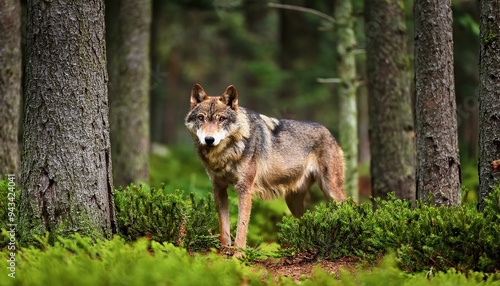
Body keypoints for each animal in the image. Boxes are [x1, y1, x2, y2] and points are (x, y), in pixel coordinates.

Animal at [186, 83, 346, 250]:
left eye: (222, 119)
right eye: (201, 118)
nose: (209, 139)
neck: (225, 154)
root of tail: (328, 132)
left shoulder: (244, 188)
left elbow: (242, 226)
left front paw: (239, 253)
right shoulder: (219, 188)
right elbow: (224, 227)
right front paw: (224, 250)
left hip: (332, 191)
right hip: (293, 202)